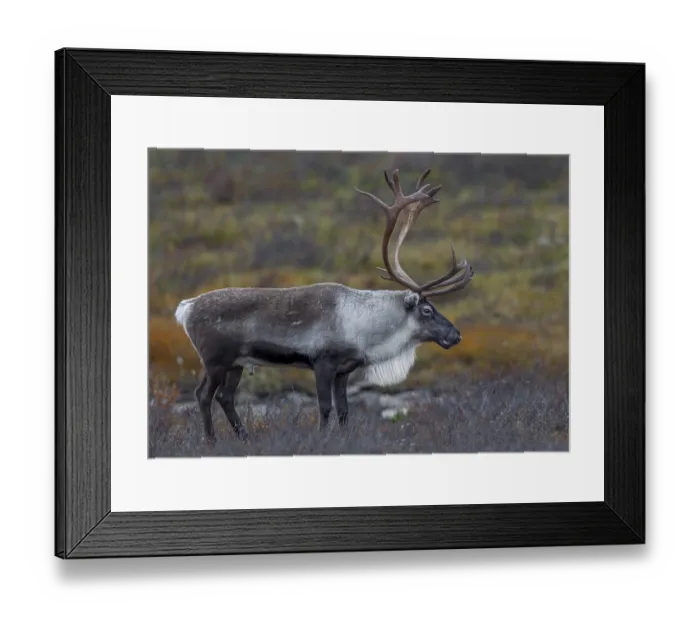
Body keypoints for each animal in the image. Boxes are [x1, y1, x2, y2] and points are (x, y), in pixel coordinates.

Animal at [174, 168, 474, 443]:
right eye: (427, 310)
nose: (456, 335)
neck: (365, 326)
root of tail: (186, 307)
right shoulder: (323, 363)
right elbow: (325, 407)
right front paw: (321, 440)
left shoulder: (344, 370)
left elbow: (343, 410)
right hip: (215, 360)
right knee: (203, 395)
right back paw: (211, 440)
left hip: (236, 363)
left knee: (225, 397)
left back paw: (245, 438)